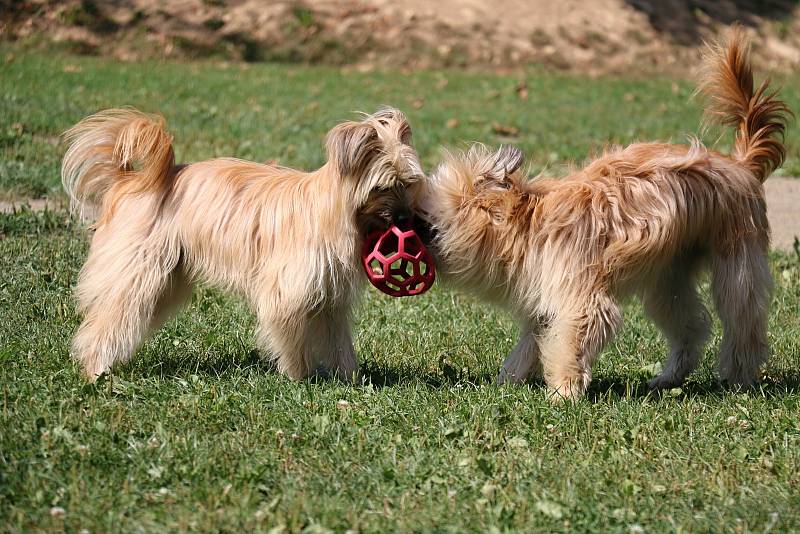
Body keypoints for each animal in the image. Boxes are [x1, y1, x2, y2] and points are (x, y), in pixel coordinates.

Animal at [62, 107, 424, 384]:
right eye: (382, 187)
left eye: (409, 183)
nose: (405, 219)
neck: (332, 209)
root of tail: (135, 181)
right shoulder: (288, 293)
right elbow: (293, 339)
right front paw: (299, 378)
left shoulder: (330, 298)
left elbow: (338, 342)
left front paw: (351, 379)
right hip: (138, 272)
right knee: (107, 321)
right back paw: (95, 370)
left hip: (164, 281)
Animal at [416, 27, 792, 400]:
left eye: (425, 214)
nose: (409, 226)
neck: (527, 226)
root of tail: (740, 164)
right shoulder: (547, 303)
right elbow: (532, 342)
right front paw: (508, 380)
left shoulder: (582, 301)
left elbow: (570, 344)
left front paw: (564, 391)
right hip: (667, 277)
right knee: (692, 326)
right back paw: (669, 377)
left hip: (737, 265)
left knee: (743, 323)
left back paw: (739, 378)